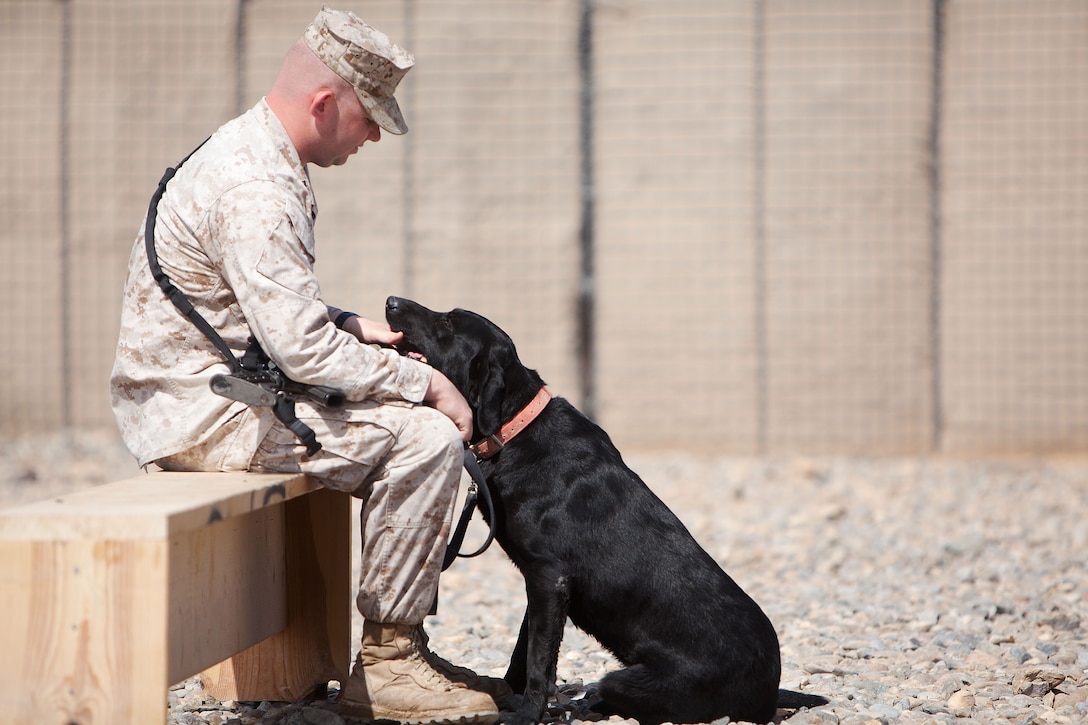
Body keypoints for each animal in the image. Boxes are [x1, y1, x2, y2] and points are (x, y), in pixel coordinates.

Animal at [387, 296, 818, 722]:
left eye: (447, 323)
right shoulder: (542, 586)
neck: (515, 428)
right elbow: (523, 652)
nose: (391, 302)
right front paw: (510, 698)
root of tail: (768, 694)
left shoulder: (548, 578)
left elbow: (538, 658)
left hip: (627, 678)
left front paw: (527, 713)